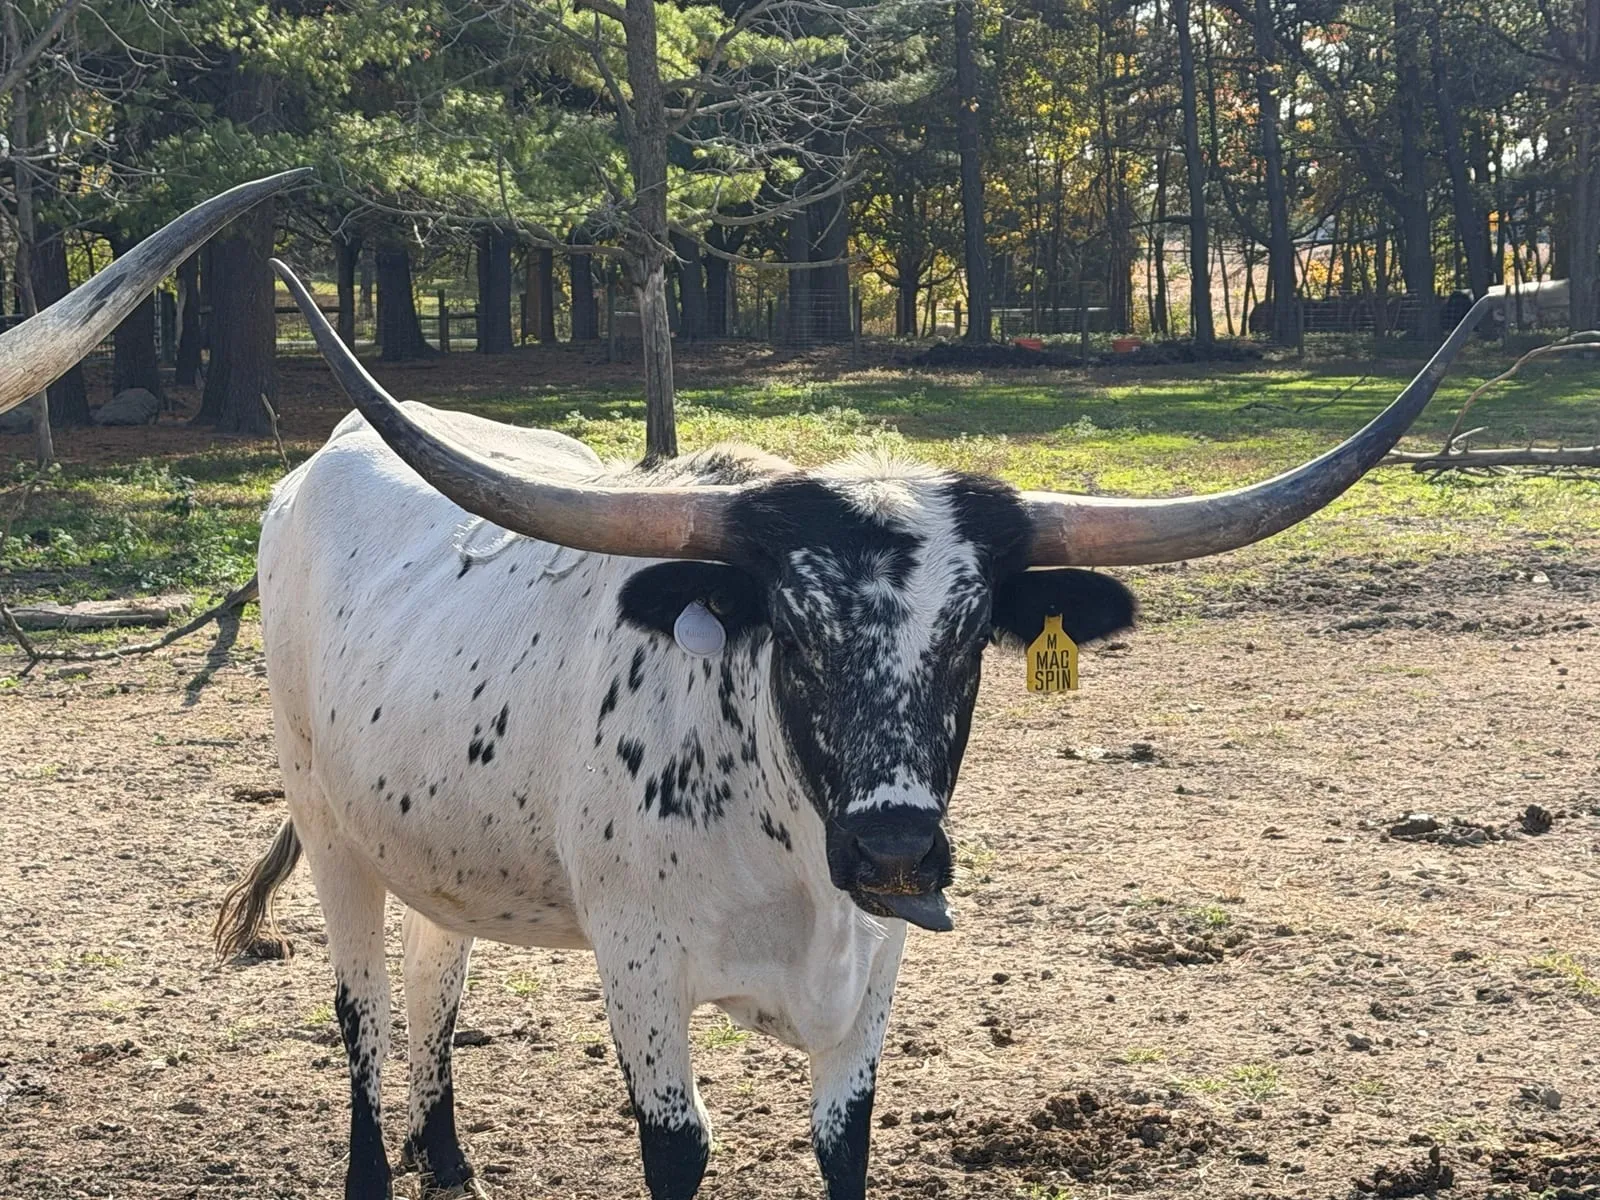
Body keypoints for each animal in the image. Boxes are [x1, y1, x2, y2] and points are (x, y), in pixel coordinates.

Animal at [0, 176, 1501, 1200]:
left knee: (436, 985)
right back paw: (383, 1167)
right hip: (330, 831)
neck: (788, 854)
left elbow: (845, 1143)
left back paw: (453, 1160)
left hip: (437, 836)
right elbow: (679, 1150)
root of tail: (314, 470)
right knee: (364, 1011)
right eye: (792, 625)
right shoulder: (642, 974)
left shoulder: (874, 985)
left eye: (972, 634)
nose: (895, 849)